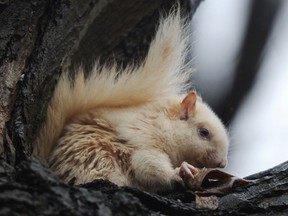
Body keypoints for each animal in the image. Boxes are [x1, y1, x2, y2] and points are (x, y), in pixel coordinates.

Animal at [32, 9, 230, 192]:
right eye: (203, 132)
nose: (222, 164)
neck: (163, 124)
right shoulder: (145, 139)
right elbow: (147, 165)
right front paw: (180, 171)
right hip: (98, 159)